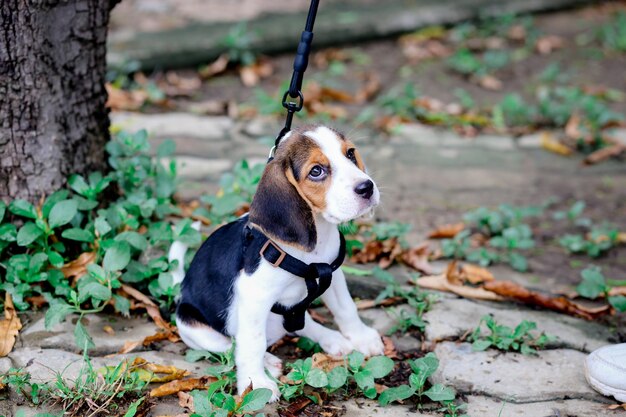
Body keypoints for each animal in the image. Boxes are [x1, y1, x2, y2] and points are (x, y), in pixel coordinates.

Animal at [171, 124, 386, 400]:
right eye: (316, 171)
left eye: (350, 154)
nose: (366, 187)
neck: (313, 249)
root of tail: (181, 291)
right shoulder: (254, 296)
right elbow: (251, 343)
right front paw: (255, 383)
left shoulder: (333, 274)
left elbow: (346, 307)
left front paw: (361, 337)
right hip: (193, 327)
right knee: (230, 345)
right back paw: (268, 362)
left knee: (301, 325)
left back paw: (332, 339)